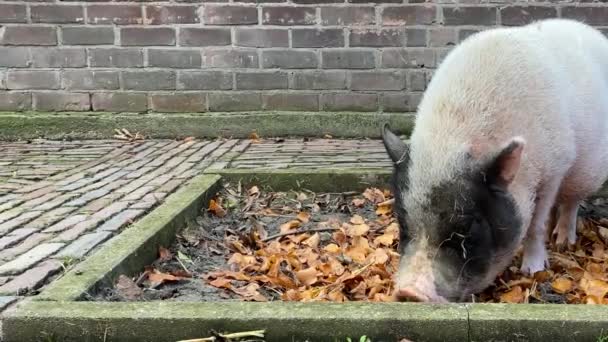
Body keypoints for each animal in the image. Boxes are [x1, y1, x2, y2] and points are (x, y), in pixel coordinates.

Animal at [382, 18, 608, 302]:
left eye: (466, 229)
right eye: (402, 223)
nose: (409, 292)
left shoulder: (553, 170)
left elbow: (535, 225)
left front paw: (533, 270)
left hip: (586, 171)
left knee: (571, 202)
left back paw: (562, 241)